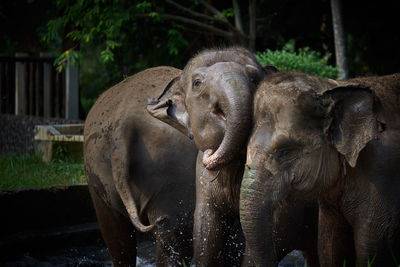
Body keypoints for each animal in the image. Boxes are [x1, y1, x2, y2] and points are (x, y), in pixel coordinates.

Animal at [147, 47, 318, 266]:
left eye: (254, 78)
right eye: (197, 83)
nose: (209, 155)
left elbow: (271, 231)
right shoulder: (202, 180)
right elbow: (207, 230)